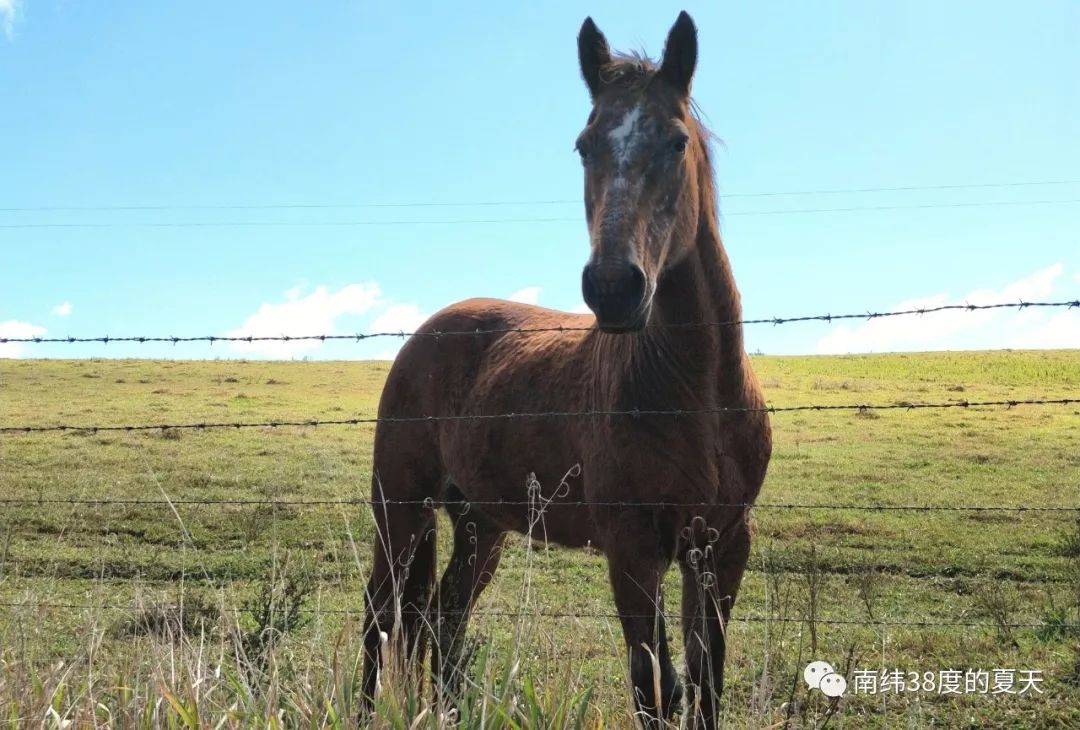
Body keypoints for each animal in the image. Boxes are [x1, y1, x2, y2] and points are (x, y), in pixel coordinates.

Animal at [367, 11, 773, 730]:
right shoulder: (634, 552)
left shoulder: (722, 548)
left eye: (676, 142)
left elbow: (705, 685)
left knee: (441, 620)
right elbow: (655, 689)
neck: (699, 395)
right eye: (584, 146)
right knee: (380, 617)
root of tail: (427, 333)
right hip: (400, 506)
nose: (613, 287)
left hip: (480, 524)